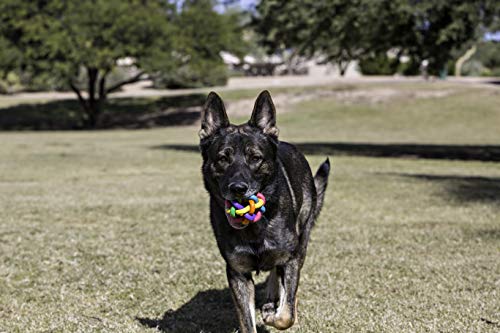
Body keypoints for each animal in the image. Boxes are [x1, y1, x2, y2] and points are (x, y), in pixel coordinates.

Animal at [199, 89, 332, 330]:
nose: (238, 189)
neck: (254, 227)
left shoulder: (292, 258)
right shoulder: (238, 273)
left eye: (255, 158)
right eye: (223, 158)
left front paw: (276, 314)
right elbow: (247, 321)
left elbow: (287, 314)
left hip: (303, 237)